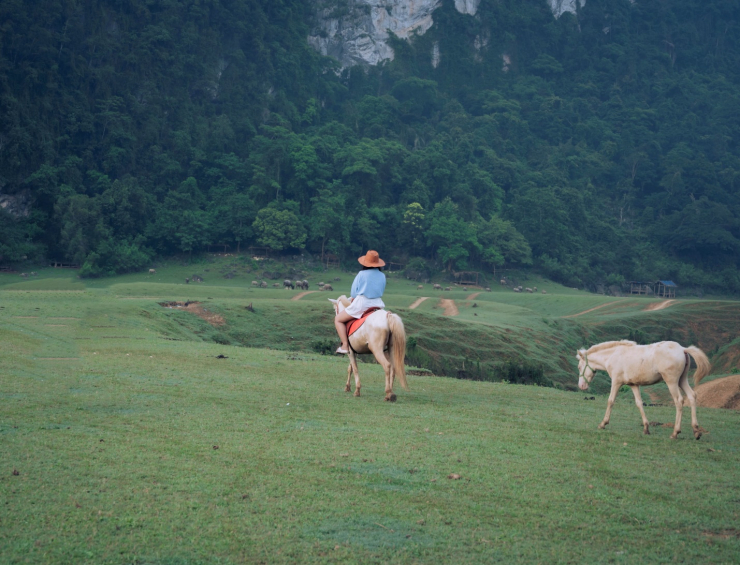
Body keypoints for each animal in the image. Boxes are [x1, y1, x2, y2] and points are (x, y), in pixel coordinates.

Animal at [580, 340, 712, 436]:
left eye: (579, 367)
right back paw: (696, 431)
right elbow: (639, 403)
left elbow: (610, 401)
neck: (613, 355)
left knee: (679, 401)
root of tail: (682, 349)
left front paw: (603, 424)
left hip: (672, 382)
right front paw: (646, 428)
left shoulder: (616, 382)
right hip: (682, 380)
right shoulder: (633, 385)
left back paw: (675, 432)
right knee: (692, 396)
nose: (581, 386)